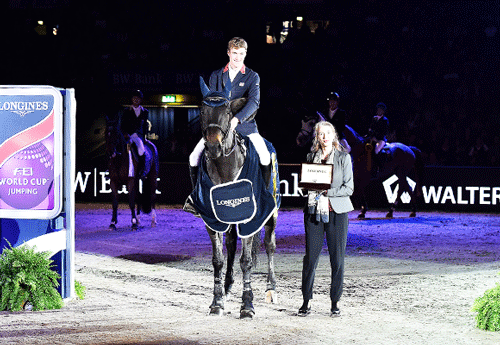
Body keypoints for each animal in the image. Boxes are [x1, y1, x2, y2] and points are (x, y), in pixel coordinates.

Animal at [294, 113, 424, 218]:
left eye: (311, 123)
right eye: (302, 123)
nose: (299, 140)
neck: (355, 148)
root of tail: (409, 148)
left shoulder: (360, 176)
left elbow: (358, 191)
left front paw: (362, 211)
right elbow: (358, 191)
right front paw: (362, 211)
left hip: (401, 172)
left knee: (405, 188)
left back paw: (402, 210)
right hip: (398, 172)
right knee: (405, 187)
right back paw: (399, 211)